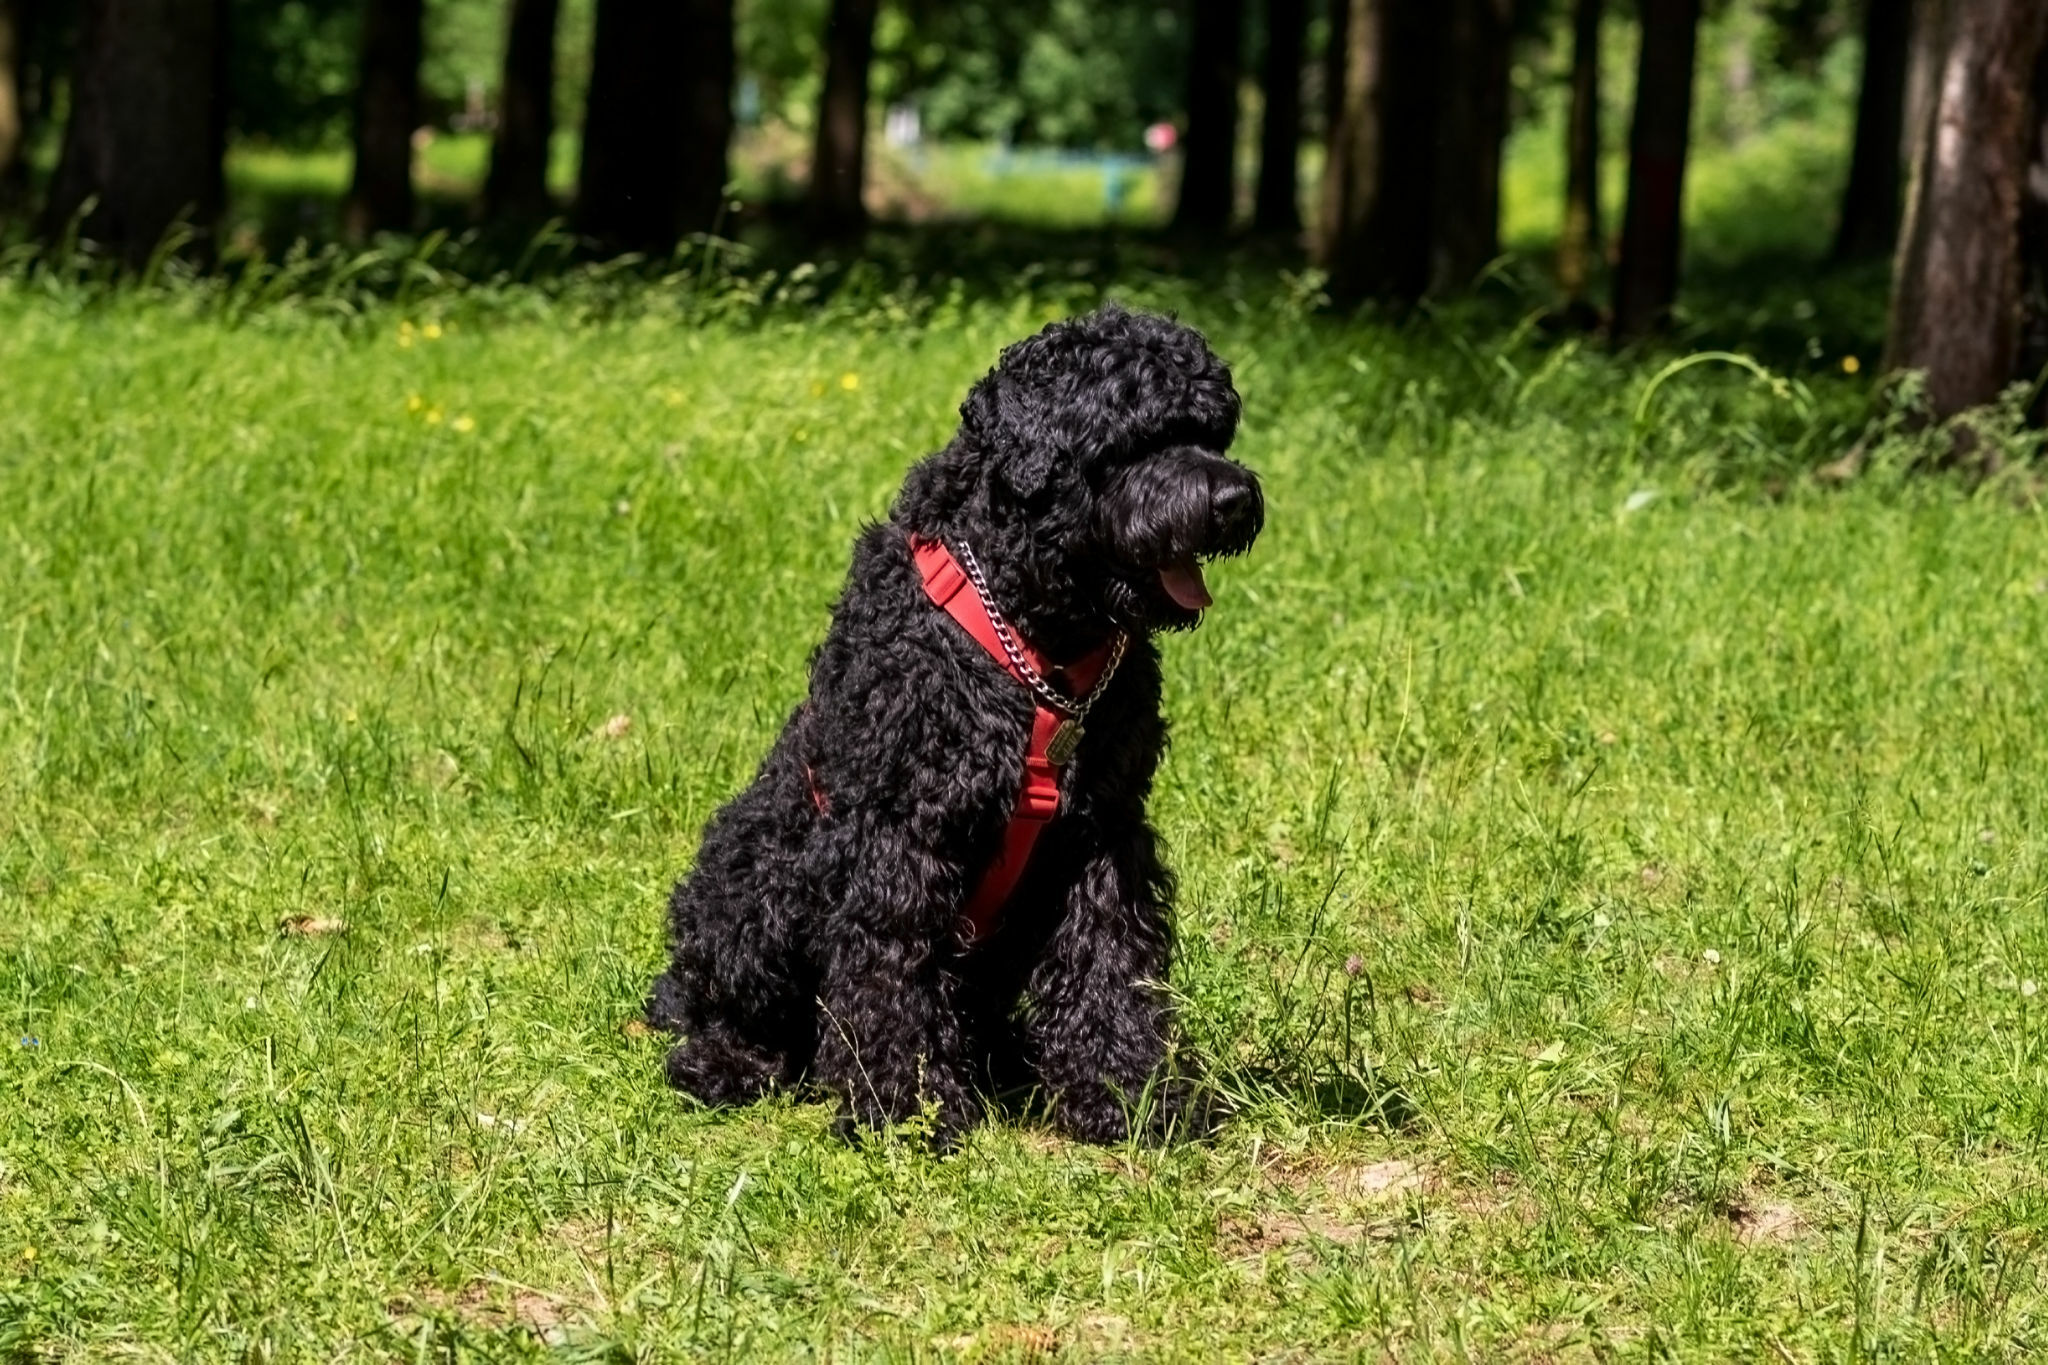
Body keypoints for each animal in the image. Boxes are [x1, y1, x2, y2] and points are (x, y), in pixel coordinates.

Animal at [647, 304, 1261, 1146]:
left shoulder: (1105, 830)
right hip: (753, 882)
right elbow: (892, 970)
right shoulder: (905, 830)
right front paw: (906, 1108)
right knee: (732, 1009)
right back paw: (724, 1063)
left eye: (1216, 430)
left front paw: (1130, 1092)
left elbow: (1109, 966)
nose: (1233, 498)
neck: (1035, 635)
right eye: (1137, 434)